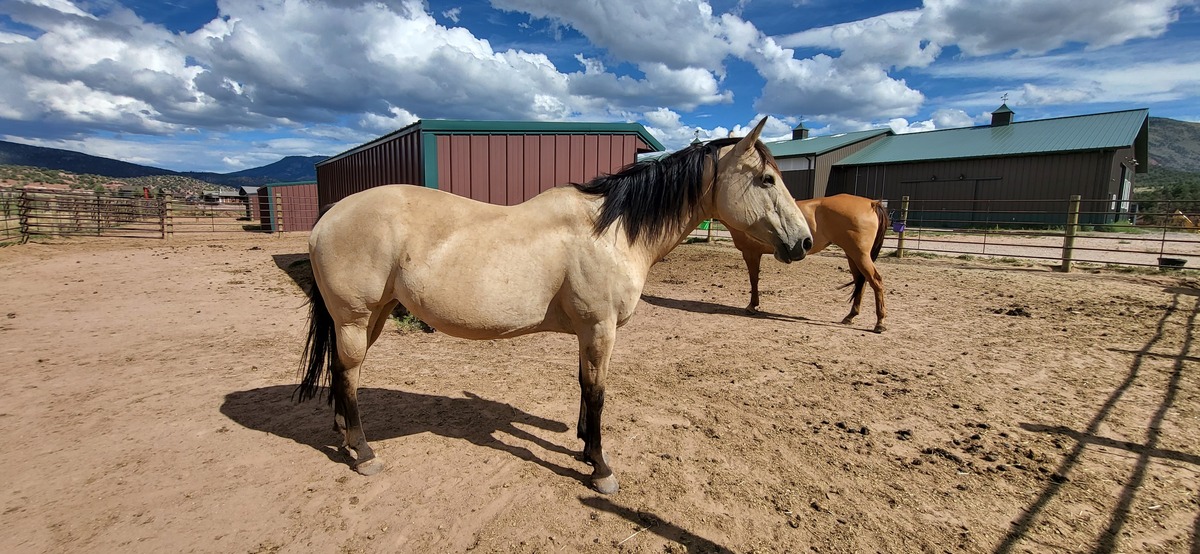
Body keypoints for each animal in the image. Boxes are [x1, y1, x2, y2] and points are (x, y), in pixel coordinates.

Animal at [296, 117, 813, 494]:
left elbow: (584, 386)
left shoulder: (588, 331)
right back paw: (364, 454)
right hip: (356, 318)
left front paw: (584, 447)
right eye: (767, 179)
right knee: (348, 374)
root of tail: (331, 214)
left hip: (374, 316)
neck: (610, 231)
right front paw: (601, 467)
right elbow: (597, 391)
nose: (804, 242)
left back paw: (346, 439)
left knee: (343, 374)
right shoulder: (601, 327)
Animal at [726, 193, 889, 333]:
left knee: (876, 281)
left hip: (860, 255)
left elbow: (753, 279)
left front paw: (752, 306)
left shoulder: (750, 252)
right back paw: (850, 316)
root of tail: (871, 203)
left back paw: (880, 323)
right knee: (861, 282)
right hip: (852, 255)